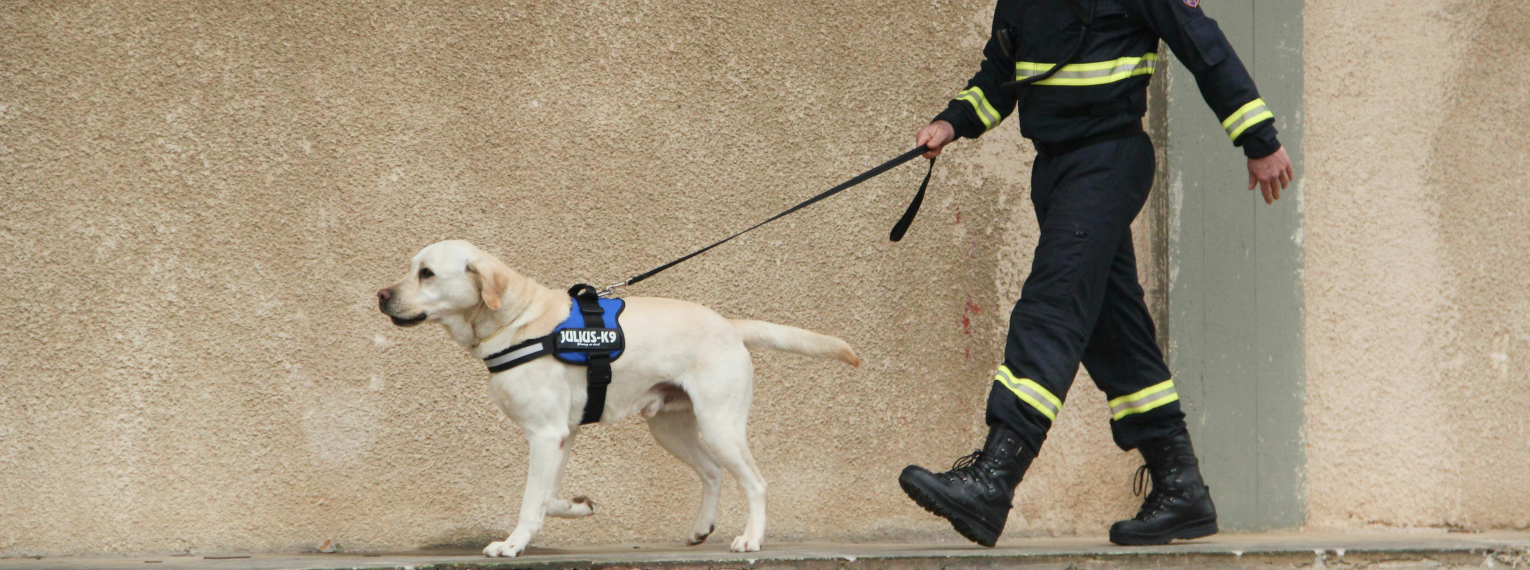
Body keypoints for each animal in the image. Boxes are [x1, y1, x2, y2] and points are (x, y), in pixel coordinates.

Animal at [376, 239, 856, 556]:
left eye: (427, 273)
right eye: (411, 267)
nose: (381, 295)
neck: (515, 320)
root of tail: (730, 325)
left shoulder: (545, 434)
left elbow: (531, 500)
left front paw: (512, 544)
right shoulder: (562, 435)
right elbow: (547, 494)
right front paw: (577, 506)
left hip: (720, 424)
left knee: (755, 482)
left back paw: (751, 538)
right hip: (670, 428)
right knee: (712, 472)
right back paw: (702, 528)